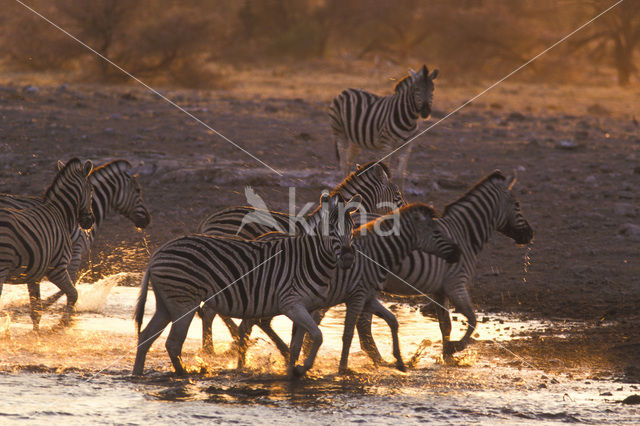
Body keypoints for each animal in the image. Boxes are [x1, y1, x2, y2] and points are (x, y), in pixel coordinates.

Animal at [0, 160, 94, 330]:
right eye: (91, 190)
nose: (90, 222)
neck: (61, 214)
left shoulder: (34, 275)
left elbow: (36, 311)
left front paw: (36, 334)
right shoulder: (58, 268)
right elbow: (73, 294)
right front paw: (62, 324)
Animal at [131, 192, 360, 376]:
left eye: (352, 227)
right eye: (331, 227)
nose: (349, 258)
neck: (309, 258)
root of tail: (156, 255)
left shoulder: (308, 308)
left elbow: (298, 344)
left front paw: (292, 371)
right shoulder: (292, 304)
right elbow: (318, 336)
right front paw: (302, 368)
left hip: (166, 303)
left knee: (145, 337)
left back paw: (137, 375)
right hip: (183, 303)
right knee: (172, 343)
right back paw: (185, 374)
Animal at [238, 203, 462, 372]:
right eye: (436, 232)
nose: (457, 253)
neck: (376, 254)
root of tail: (260, 238)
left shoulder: (368, 297)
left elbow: (393, 321)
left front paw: (399, 361)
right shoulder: (357, 296)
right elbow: (348, 334)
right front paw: (343, 369)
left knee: (252, 324)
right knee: (248, 325)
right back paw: (243, 366)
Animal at [352, 171, 532, 364]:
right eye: (517, 205)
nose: (531, 234)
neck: (464, 234)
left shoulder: (440, 290)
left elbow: (446, 325)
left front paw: (447, 355)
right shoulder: (456, 284)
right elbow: (472, 319)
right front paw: (456, 348)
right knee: (363, 325)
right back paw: (380, 362)